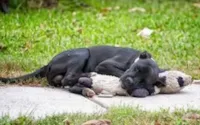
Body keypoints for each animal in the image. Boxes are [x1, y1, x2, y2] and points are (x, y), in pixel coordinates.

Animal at [0, 45, 165, 95]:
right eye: (136, 69)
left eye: (143, 81)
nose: (130, 82)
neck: (133, 60)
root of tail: (48, 64)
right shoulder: (104, 65)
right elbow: (119, 73)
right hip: (82, 53)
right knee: (68, 77)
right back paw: (89, 76)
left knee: (64, 80)